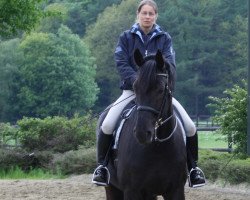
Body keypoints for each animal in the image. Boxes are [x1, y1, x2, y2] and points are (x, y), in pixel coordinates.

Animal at [98, 49, 187, 199]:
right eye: (135, 87)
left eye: (161, 89)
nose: (142, 133)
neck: (158, 147)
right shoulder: (131, 190)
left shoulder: (176, 190)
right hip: (112, 188)